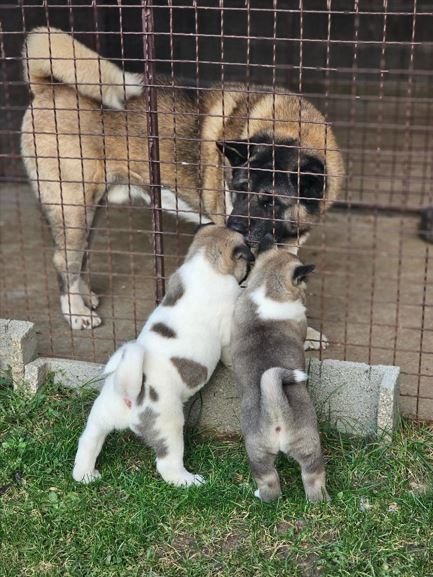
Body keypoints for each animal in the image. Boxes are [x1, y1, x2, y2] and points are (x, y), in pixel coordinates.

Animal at [21, 27, 344, 330]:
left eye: (270, 201)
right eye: (238, 189)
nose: (232, 227)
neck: (291, 130)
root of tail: (47, 86)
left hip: (89, 211)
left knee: (79, 258)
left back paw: (84, 297)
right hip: (73, 207)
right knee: (64, 259)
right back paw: (76, 313)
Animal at [72, 223, 251, 484]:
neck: (205, 260)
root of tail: (129, 396)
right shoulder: (228, 328)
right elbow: (229, 352)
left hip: (100, 416)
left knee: (88, 441)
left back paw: (85, 474)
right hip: (169, 426)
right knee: (167, 465)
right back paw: (189, 481)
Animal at [231, 232, 330, 502]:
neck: (268, 284)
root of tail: (275, 409)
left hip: (257, 453)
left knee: (269, 483)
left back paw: (264, 498)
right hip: (308, 445)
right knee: (313, 476)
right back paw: (322, 502)